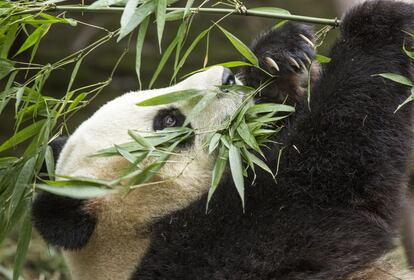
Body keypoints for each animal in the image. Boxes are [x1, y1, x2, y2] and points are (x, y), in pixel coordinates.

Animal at [31, 1, 414, 278]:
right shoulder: (225, 247)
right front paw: (379, 24)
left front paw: (278, 56)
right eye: (168, 120)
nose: (227, 77)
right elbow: (332, 177)